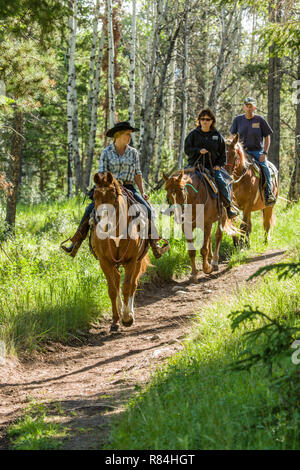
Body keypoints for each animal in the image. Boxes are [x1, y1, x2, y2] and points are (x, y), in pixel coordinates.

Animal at [89, 172, 149, 330]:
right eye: (94, 196)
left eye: (113, 195)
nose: (103, 225)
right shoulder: (104, 262)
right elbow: (112, 290)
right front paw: (115, 320)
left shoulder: (131, 261)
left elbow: (127, 287)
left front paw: (127, 317)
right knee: (116, 283)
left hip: (138, 261)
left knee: (133, 284)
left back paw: (129, 312)